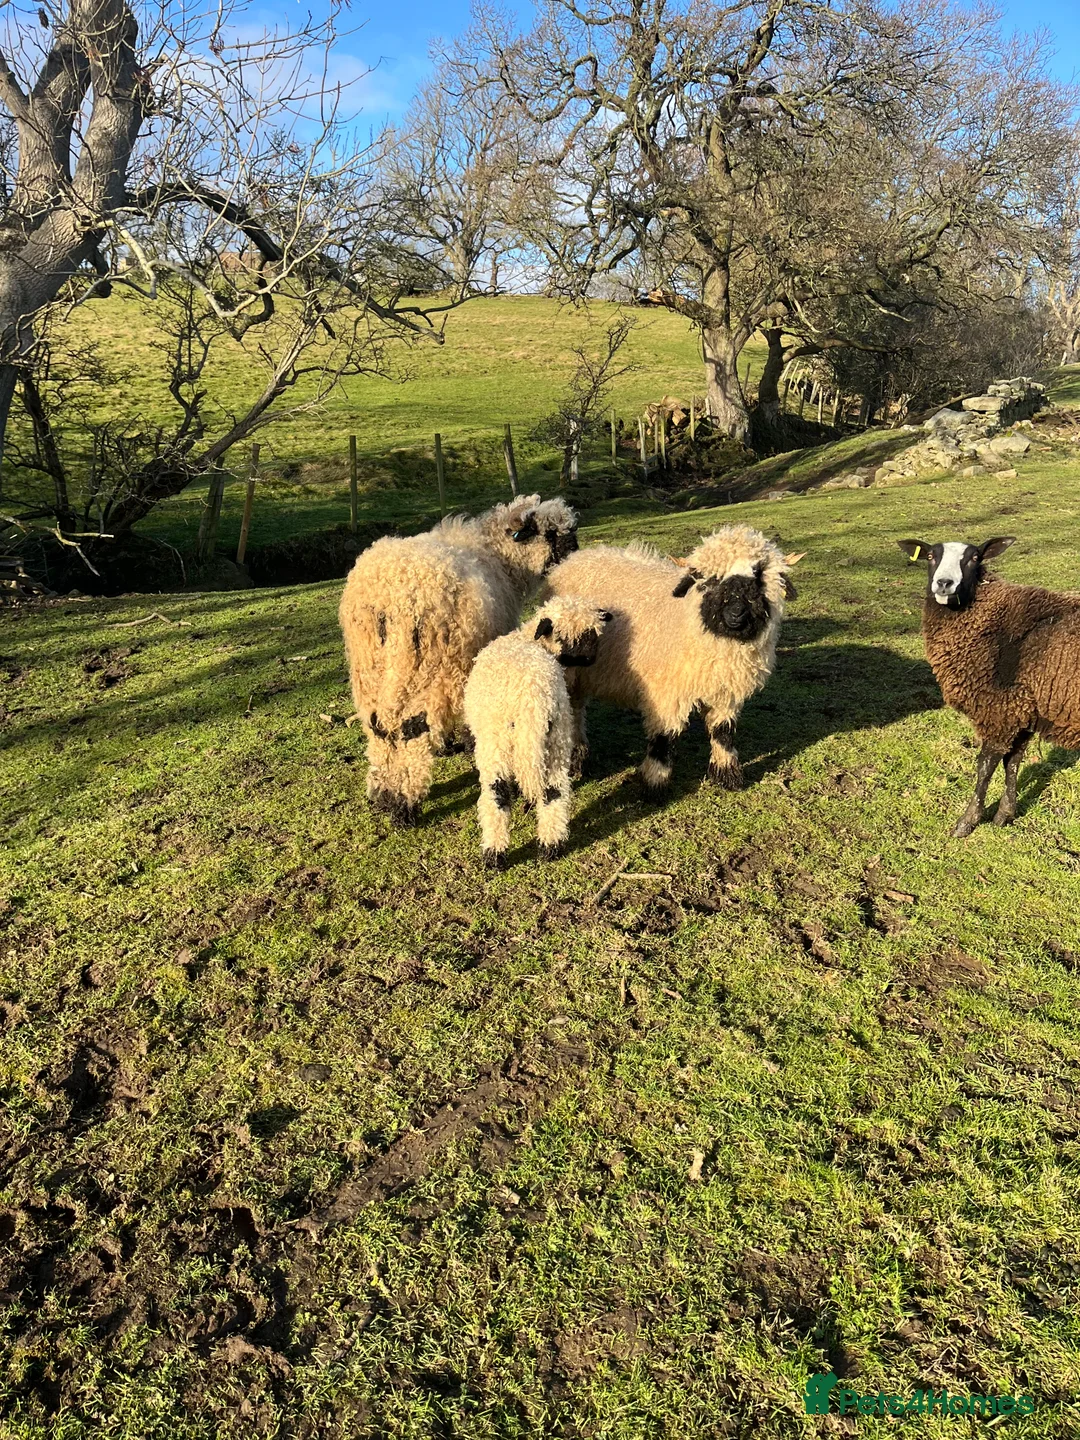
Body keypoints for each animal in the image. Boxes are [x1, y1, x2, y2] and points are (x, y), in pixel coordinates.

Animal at [339, 494, 579, 825]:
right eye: (550, 533)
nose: (575, 551)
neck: (499, 558)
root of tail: (389, 600)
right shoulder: (466, 665)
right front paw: (464, 743)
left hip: (371, 669)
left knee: (379, 727)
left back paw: (383, 792)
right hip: (420, 667)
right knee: (410, 729)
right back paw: (403, 803)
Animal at [463, 597, 612, 866]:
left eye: (592, 633)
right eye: (563, 636)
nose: (588, 658)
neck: (528, 639)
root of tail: (535, 698)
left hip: (496, 742)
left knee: (497, 793)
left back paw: (494, 853)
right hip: (556, 740)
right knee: (555, 791)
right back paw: (551, 846)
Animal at [541, 524, 800, 792]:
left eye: (758, 575)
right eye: (711, 580)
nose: (736, 613)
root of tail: (573, 559)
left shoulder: (725, 692)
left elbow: (723, 733)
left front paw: (727, 776)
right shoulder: (664, 692)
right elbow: (663, 739)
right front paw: (653, 783)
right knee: (574, 713)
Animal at [898, 535, 1080, 836]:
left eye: (974, 558)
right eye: (931, 557)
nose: (944, 583)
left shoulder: (998, 708)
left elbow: (985, 766)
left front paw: (967, 822)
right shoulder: (1021, 710)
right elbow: (1012, 763)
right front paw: (1005, 815)